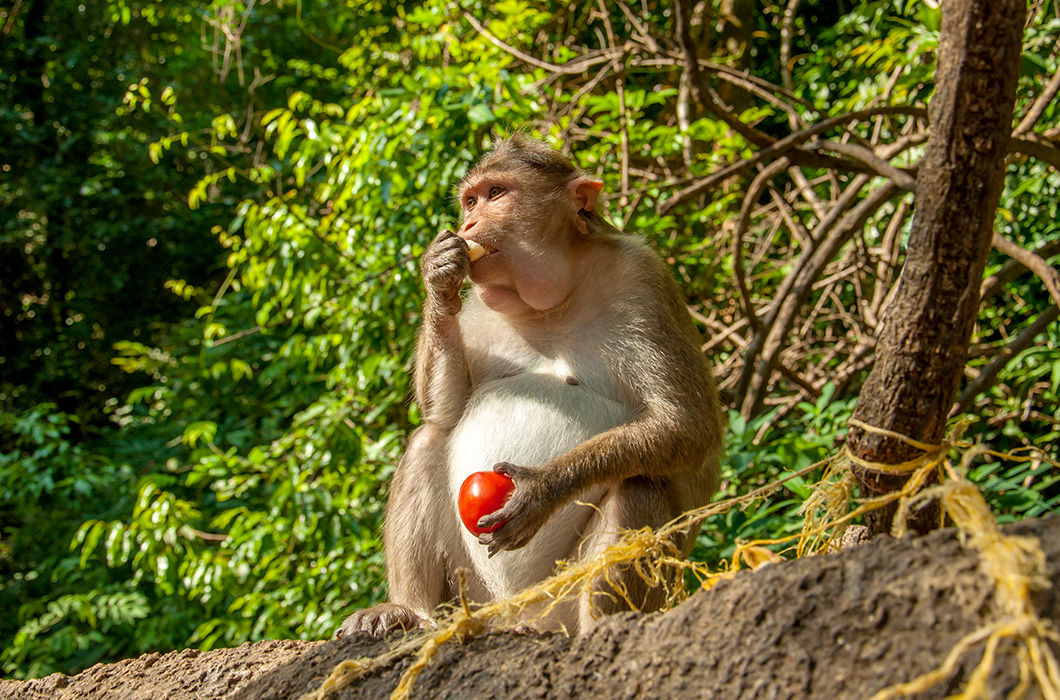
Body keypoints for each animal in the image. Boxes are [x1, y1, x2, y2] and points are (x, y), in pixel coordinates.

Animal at [334, 136, 725, 640]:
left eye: (496, 193)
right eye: (470, 201)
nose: (468, 224)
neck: (554, 298)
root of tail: (514, 616)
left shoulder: (643, 281)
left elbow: (686, 424)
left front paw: (540, 491)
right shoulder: (478, 301)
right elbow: (445, 410)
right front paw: (437, 274)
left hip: (562, 599)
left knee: (639, 485)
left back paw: (601, 630)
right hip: (474, 597)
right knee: (429, 439)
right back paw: (407, 610)